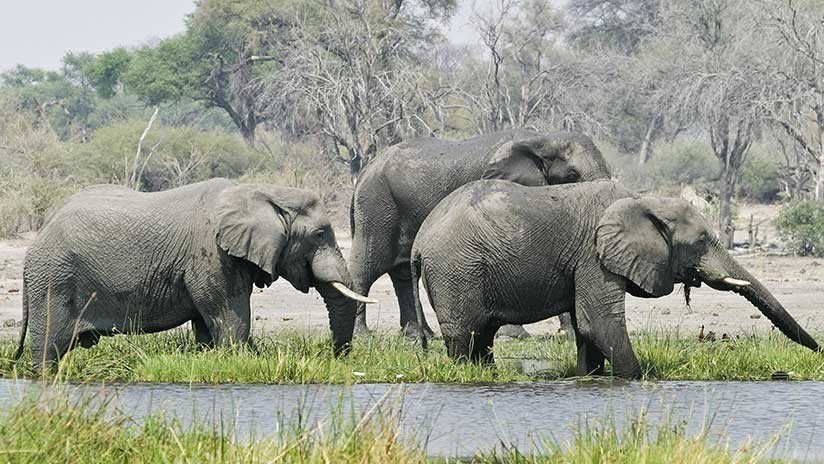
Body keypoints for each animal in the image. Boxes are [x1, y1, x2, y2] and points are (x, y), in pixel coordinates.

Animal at [14, 178, 375, 370]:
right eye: (320, 234)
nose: (337, 357)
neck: (261, 193)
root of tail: (35, 243)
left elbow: (206, 322)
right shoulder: (211, 256)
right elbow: (230, 316)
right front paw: (238, 360)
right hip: (54, 280)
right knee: (49, 346)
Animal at [349, 129, 612, 337]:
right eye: (573, 175)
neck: (545, 137)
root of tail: (365, 169)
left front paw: (566, 334)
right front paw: (515, 336)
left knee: (402, 272)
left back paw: (418, 335)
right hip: (376, 204)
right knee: (367, 266)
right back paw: (363, 336)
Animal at [410, 179, 820, 379]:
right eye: (701, 241)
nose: (819, 353)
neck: (644, 201)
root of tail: (419, 241)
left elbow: (587, 329)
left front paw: (589, 379)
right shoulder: (595, 255)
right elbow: (600, 323)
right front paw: (634, 380)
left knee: (484, 334)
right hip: (456, 270)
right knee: (466, 334)